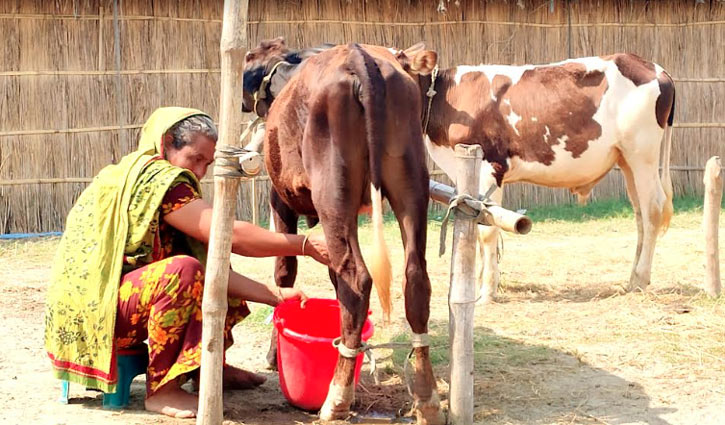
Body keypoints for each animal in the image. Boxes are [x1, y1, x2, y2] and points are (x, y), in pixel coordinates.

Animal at [242, 38, 442, 422]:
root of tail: (359, 58)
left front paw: (273, 356)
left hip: (333, 193)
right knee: (415, 278)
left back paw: (336, 398)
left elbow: (285, 271)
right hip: (411, 184)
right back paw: (426, 399)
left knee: (356, 278)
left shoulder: (280, 199)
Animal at [398, 48, 676, 300]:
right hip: (626, 160)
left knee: (653, 209)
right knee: (640, 214)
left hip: (642, 155)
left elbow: (488, 230)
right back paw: (632, 279)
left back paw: (640, 279)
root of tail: (654, 68)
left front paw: (487, 291)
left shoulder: (490, 167)